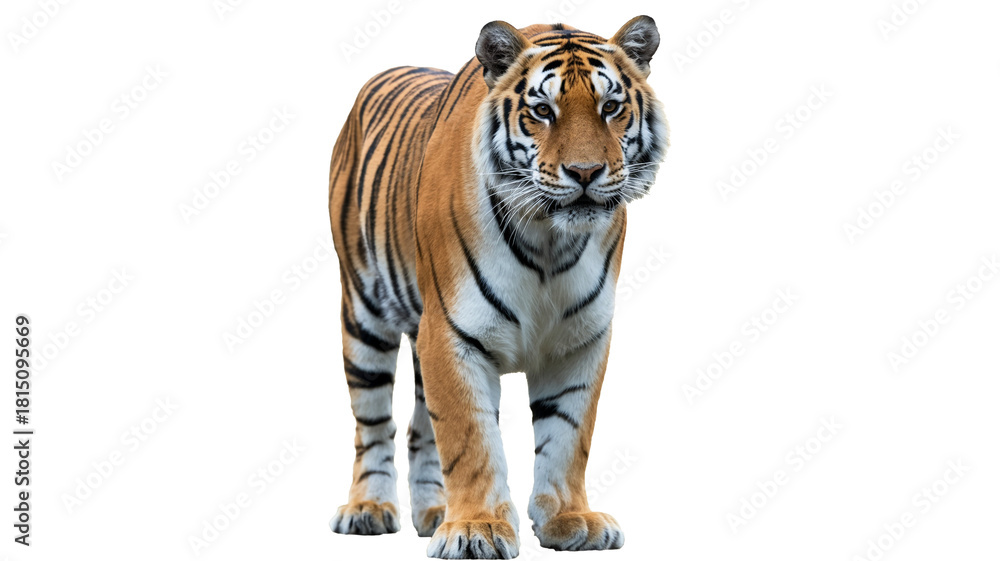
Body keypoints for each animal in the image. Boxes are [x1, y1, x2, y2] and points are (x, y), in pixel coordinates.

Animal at [327, 16, 668, 559]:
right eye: (542, 111)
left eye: (610, 108)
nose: (586, 173)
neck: (550, 240)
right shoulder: (451, 334)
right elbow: (469, 437)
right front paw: (476, 529)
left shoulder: (581, 340)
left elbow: (569, 435)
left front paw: (569, 519)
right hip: (363, 315)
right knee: (374, 423)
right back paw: (369, 509)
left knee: (420, 429)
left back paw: (433, 513)